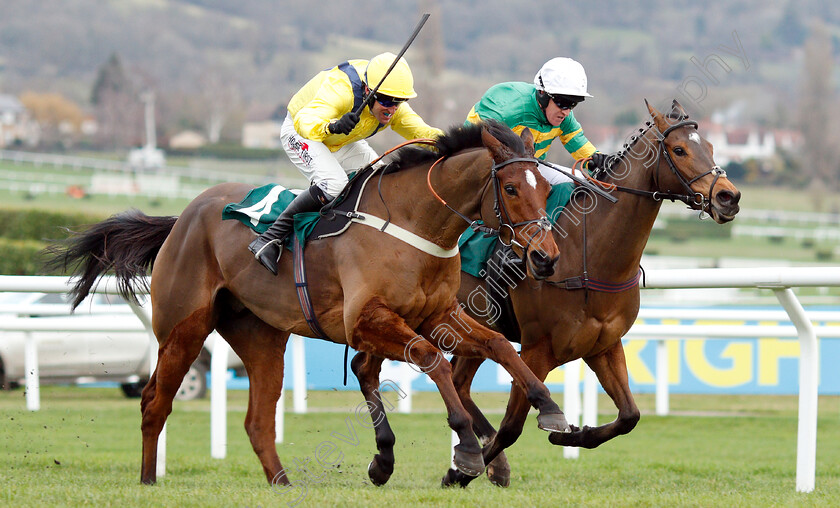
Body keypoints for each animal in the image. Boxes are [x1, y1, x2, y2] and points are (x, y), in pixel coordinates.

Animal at [50, 120, 572, 488]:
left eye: (547, 188)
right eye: (511, 188)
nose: (545, 257)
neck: (415, 225)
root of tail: (182, 218)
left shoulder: (438, 314)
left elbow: (499, 346)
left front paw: (549, 406)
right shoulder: (367, 320)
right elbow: (431, 360)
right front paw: (464, 447)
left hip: (260, 336)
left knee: (258, 421)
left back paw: (282, 483)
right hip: (183, 329)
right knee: (154, 401)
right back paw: (148, 479)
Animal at [348, 100, 740, 488]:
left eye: (711, 147)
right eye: (679, 149)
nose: (729, 197)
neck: (587, 254)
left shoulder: (603, 345)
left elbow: (630, 415)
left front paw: (574, 435)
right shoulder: (538, 350)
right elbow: (512, 426)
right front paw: (460, 471)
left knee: (455, 382)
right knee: (373, 367)